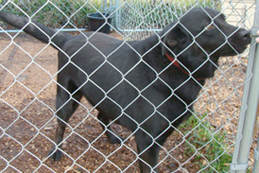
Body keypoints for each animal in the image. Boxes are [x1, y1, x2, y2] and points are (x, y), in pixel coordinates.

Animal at [0, 7, 252, 172]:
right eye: (208, 26)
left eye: (224, 18)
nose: (248, 34)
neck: (174, 64)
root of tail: (67, 38)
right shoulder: (147, 141)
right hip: (67, 96)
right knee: (60, 125)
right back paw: (56, 152)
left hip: (109, 99)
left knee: (101, 117)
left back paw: (111, 137)